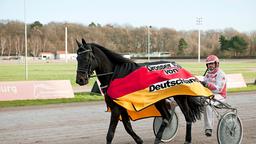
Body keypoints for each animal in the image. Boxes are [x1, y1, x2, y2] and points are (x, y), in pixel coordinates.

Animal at [75, 38, 203, 144]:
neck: (115, 75)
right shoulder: (122, 106)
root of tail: (177, 65)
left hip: (180, 97)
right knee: (166, 117)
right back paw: (158, 139)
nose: (80, 80)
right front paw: (139, 140)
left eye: (87, 58)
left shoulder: (116, 108)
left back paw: (187, 140)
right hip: (159, 100)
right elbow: (128, 127)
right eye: (77, 58)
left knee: (188, 117)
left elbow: (110, 134)